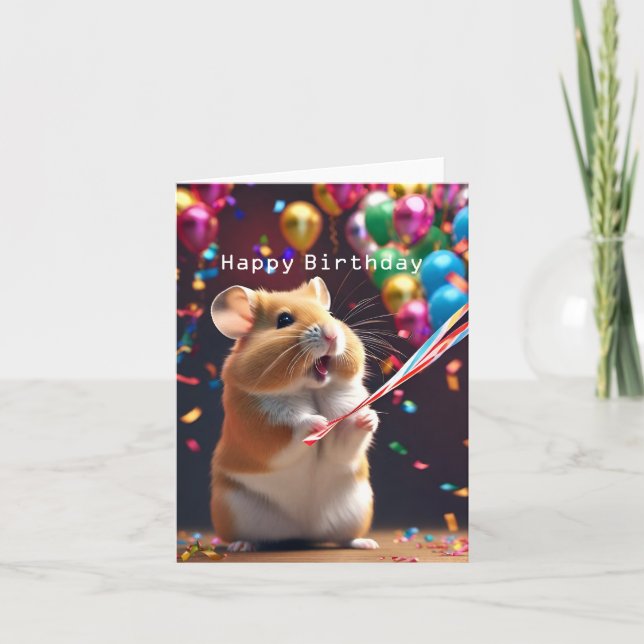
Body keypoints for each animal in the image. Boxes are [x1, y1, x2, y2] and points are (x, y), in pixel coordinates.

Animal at [209, 276, 380, 552]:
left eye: (330, 315)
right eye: (284, 320)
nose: (332, 334)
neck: (310, 389)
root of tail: (304, 531)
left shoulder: (344, 425)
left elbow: (345, 440)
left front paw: (368, 417)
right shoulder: (260, 429)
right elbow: (293, 429)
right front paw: (319, 422)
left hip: (356, 510)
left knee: (345, 537)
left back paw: (366, 543)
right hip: (233, 510)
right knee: (244, 536)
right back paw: (242, 546)